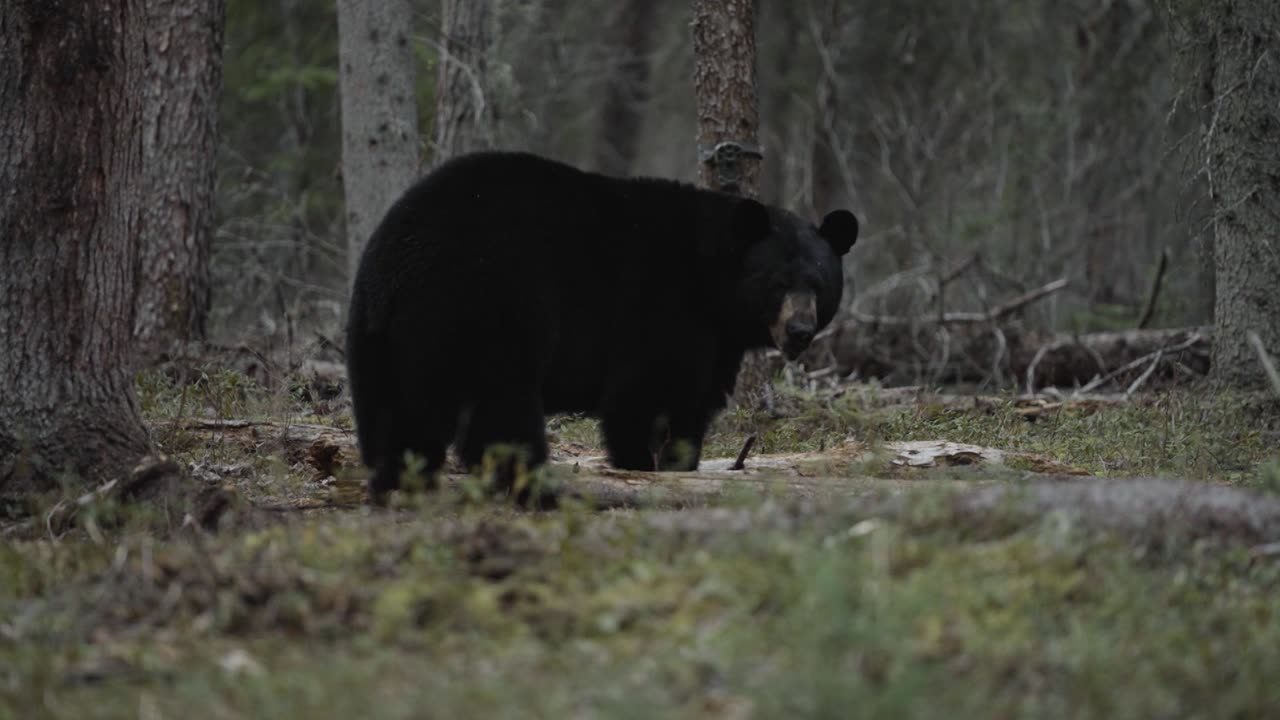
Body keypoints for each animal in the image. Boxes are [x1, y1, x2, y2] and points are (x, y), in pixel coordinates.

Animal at [345, 151, 855, 499]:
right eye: (778, 283)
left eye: (820, 284)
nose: (800, 331)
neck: (711, 279)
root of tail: (397, 264)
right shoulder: (663, 309)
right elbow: (644, 395)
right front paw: (641, 467)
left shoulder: (715, 339)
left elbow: (694, 403)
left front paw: (680, 463)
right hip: (487, 309)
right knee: (501, 410)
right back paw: (535, 486)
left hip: (379, 336)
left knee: (393, 415)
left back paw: (399, 480)